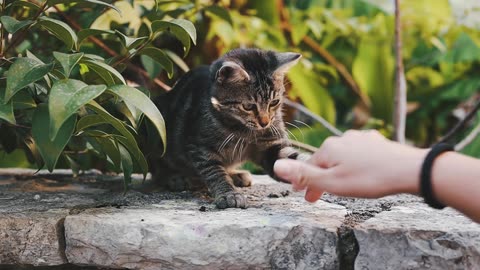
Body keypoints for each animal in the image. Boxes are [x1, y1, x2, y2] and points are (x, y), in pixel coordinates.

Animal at [146, 48, 310, 209]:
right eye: (248, 106)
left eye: (274, 102)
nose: (265, 123)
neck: (245, 131)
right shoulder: (200, 147)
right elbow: (215, 173)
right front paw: (229, 194)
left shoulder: (271, 145)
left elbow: (292, 159)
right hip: (155, 120)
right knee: (157, 168)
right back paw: (175, 178)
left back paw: (235, 174)